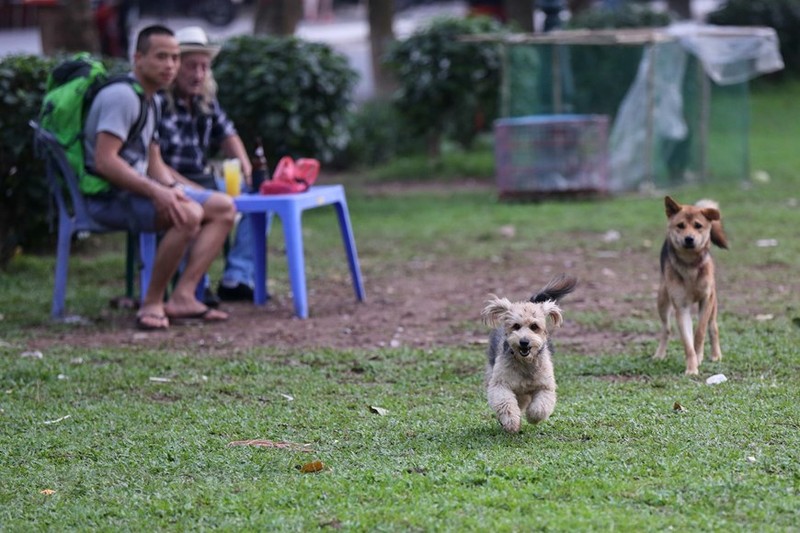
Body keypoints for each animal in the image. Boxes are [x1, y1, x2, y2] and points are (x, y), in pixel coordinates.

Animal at [652, 195, 728, 374]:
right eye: (680, 225)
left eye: (698, 226)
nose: (689, 238)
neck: (690, 265)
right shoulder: (681, 307)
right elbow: (687, 343)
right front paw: (692, 369)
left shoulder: (706, 300)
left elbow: (699, 332)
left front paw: (699, 357)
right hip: (662, 300)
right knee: (666, 329)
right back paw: (659, 354)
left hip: (713, 303)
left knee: (713, 327)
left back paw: (716, 355)